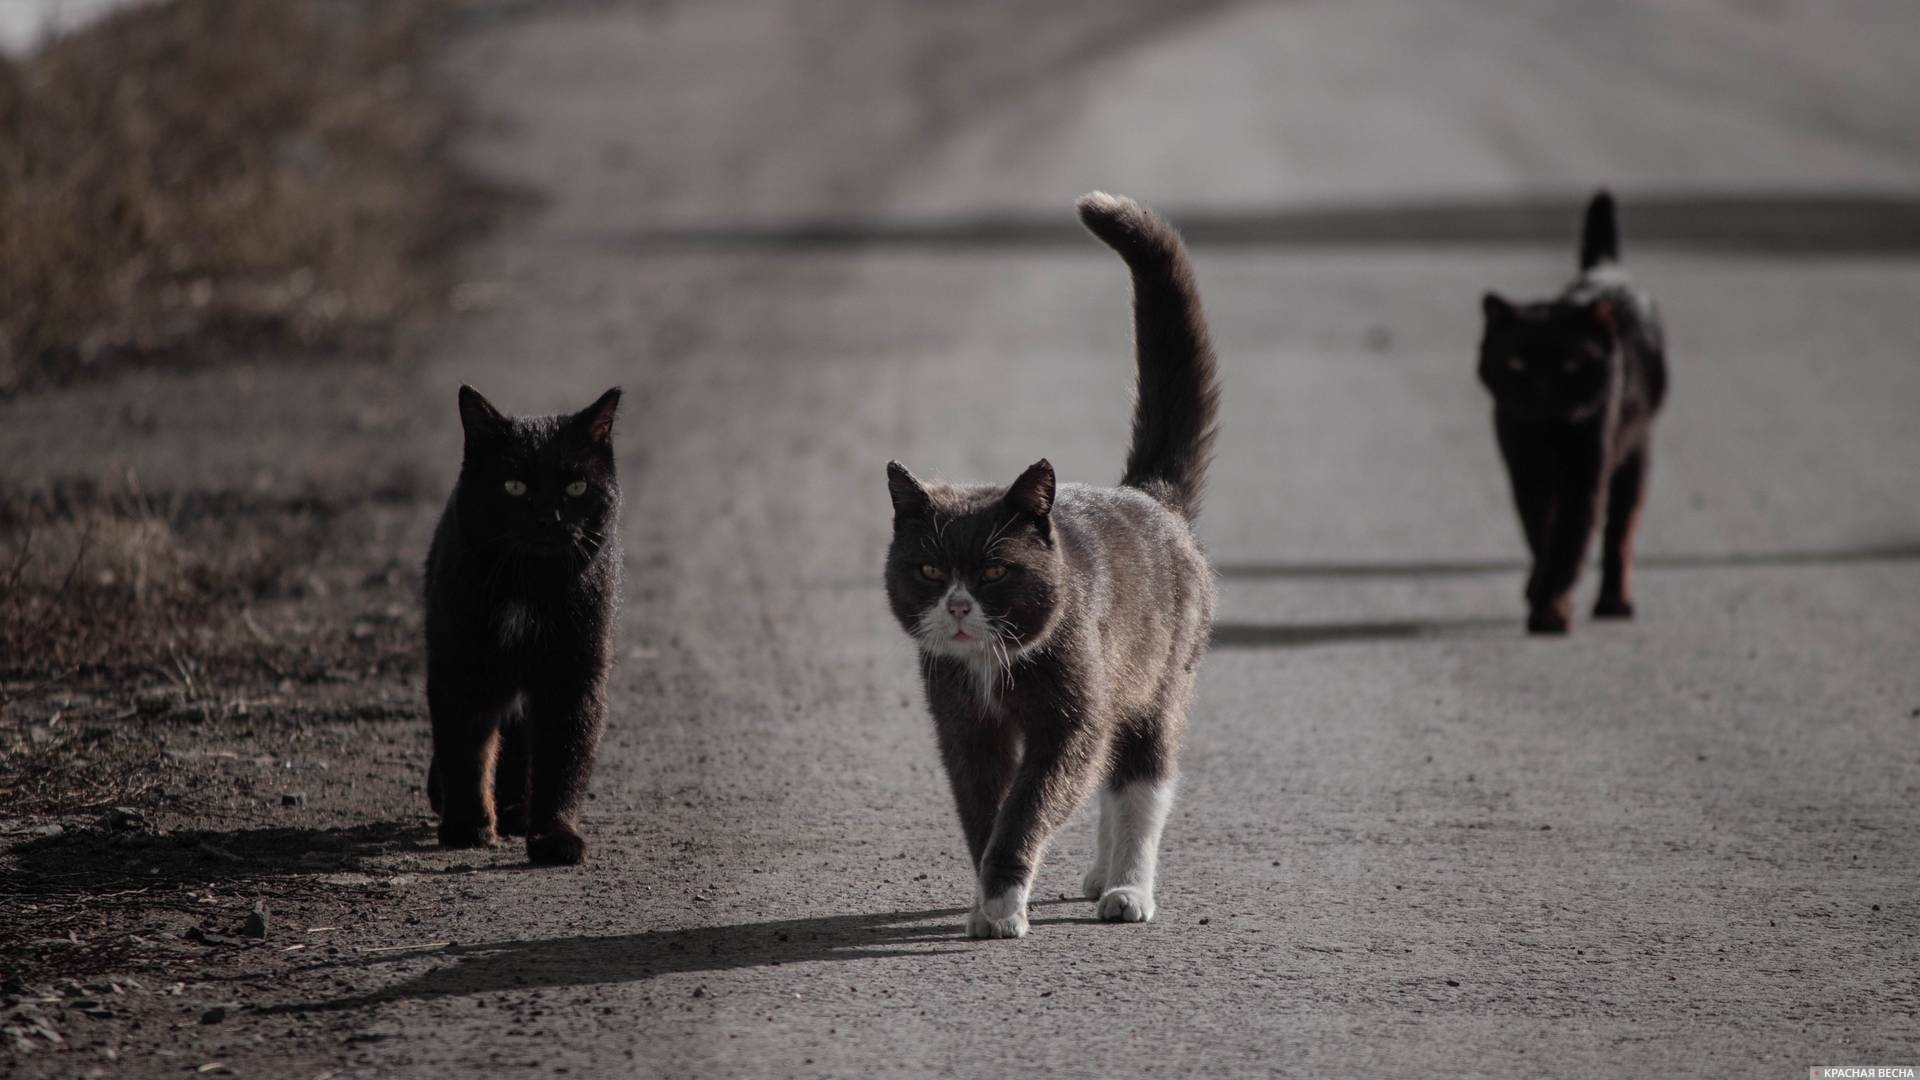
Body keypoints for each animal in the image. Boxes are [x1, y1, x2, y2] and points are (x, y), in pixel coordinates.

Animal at [426, 382, 622, 860]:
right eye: (514, 486)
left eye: (576, 486)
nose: (548, 518)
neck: (529, 585)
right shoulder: (460, 663)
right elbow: (465, 746)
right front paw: (467, 825)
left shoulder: (573, 674)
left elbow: (562, 756)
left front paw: (554, 835)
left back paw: (516, 811)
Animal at [879, 191, 1213, 933]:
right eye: (929, 571)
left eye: (996, 570)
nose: (959, 605)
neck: (990, 668)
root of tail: (1150, 494)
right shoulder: (963, 725)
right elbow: (986, 807)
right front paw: (988, 896)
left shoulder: (1070, 717)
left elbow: (1034, 801)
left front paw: (1004, 901)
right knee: (1112, 779)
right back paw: (1096, 876)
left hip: (1159, 680)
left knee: (1141, 780)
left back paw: (1127, 890)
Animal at [1482, 190, 1666, 634]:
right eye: (1517, 363)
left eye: (1570, 366)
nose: (1541, 392)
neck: (1547, 433)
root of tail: (1606, 269)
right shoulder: (1523, 467)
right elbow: (1541, 529)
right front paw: (1543, 593)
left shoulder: (1587, 469)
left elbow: (1570, 538)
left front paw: (1551, 609)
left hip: (1634, 453)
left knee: (1619, 532)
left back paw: (1614, 600)